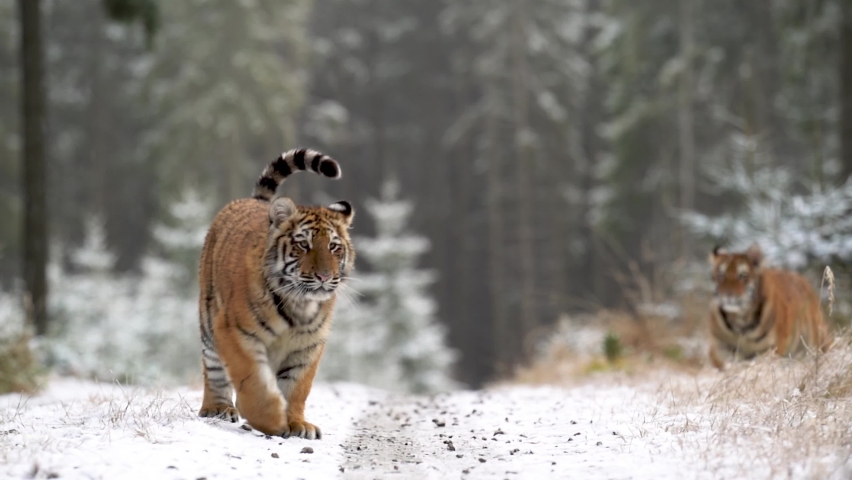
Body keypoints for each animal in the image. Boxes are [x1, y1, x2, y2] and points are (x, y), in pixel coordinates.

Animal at [196, 148, 354, 439]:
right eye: (304, 245)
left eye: (333, 246)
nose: (325, 276)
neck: (300, 303)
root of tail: (253, 200)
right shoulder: (235, 331)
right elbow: (252, 380)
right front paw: (271, 420)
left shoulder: (308, 345)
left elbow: (296, 387)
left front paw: (296, 424)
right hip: (209, 320)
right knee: (213, 369)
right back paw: (218, 408)